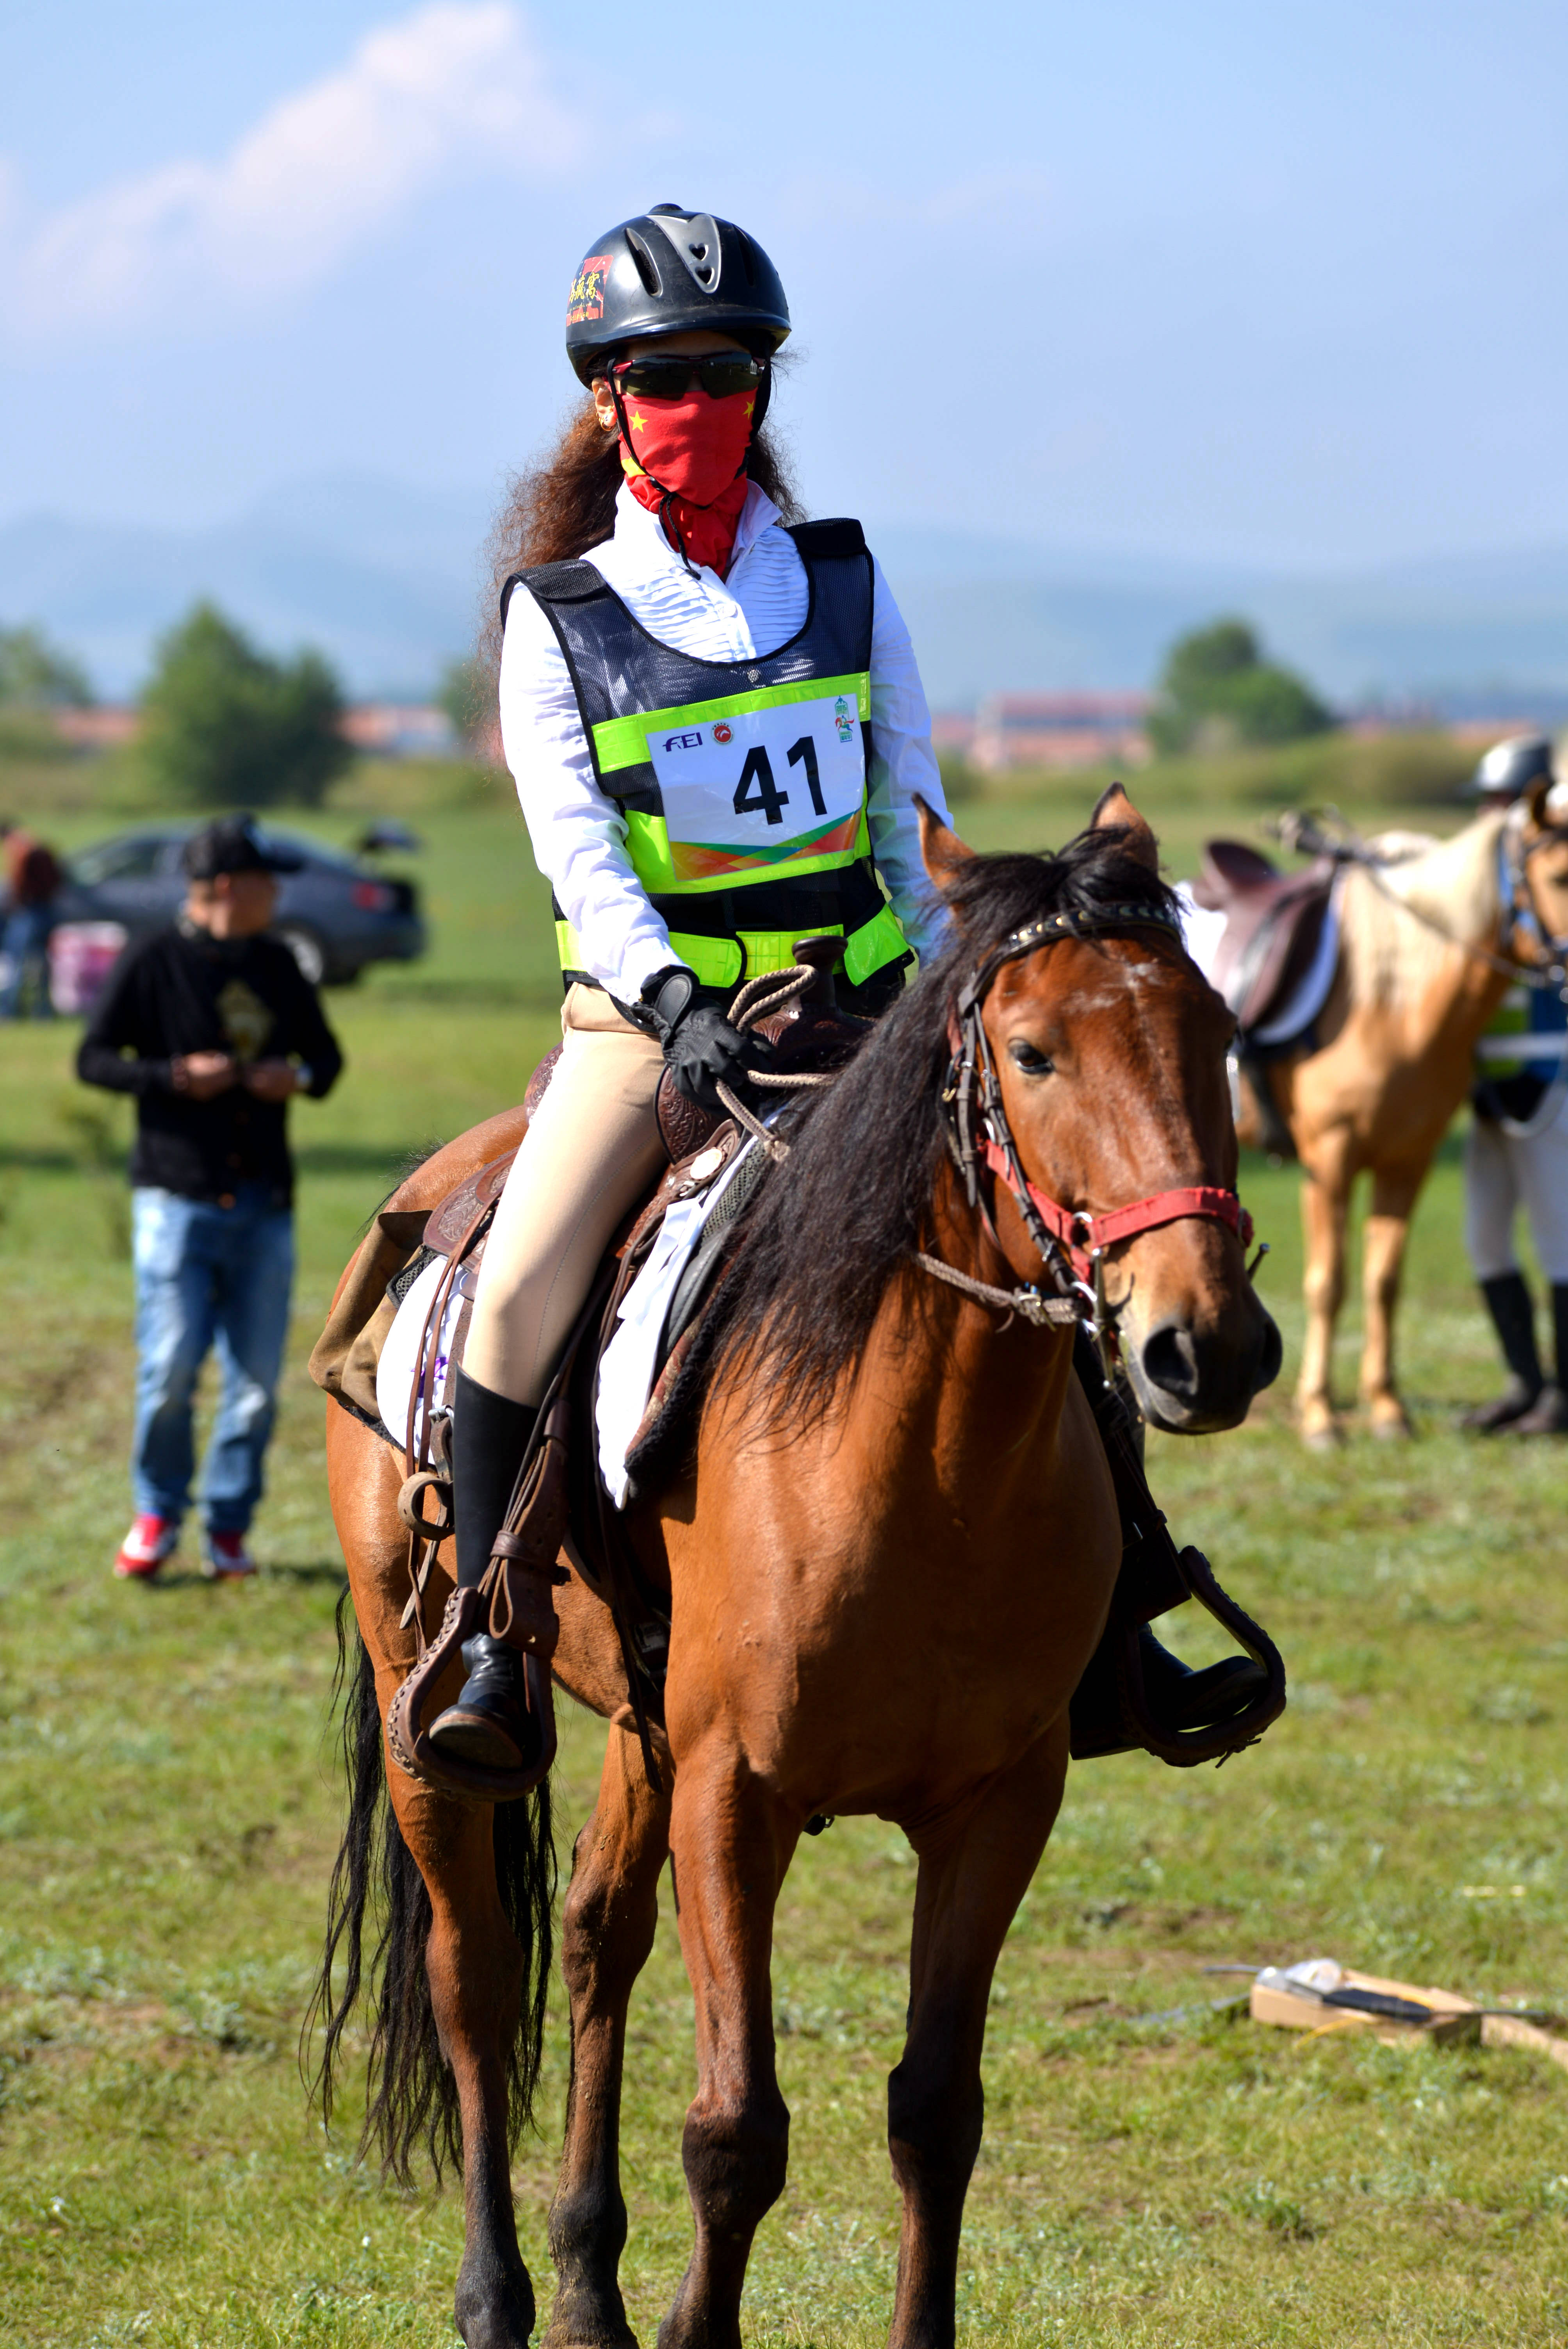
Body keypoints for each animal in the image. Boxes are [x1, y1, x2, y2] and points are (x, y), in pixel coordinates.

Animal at [314, 789, 1277, 2349]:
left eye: (1218, 1033)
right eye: (1031, 1050)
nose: (1208, 1343)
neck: (927, 1458)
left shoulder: (1001, 1800)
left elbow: (934, 2110)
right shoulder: (736, 1791)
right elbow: (735, 2129)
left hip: (642, 1720)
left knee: (594, 1932)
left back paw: (588, 2282)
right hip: (429, 1707)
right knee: (476, 1975)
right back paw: (499, 2294)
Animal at [1239, 794, 1568, 1447]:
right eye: (1560, 878)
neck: (1388, 1002)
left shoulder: (1407, 1160)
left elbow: (1383, 1281)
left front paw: (1387, 1408)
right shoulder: (1329, 1159)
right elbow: (1328, 1282)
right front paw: (1320, 1414)